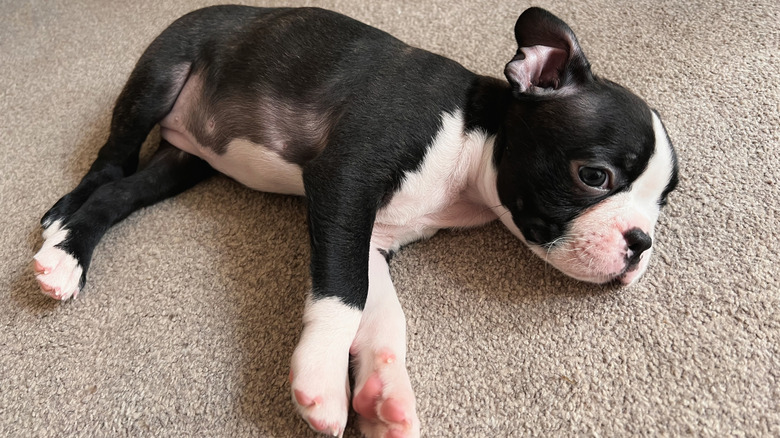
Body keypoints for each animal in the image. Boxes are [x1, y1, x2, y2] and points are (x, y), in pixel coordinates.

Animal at [32, 6, 676, 438]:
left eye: (664, 202)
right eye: (594, 176)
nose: (641, 242)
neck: (472, 141)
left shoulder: (372, 237)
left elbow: (381, 311)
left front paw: (383, 393)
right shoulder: (343, 181)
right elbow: (343, 294)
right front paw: (321, 378)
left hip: (183, 165)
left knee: (122, 194)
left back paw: (72, 252)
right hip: (161, 73)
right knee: (110, 162)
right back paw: (62, 233)